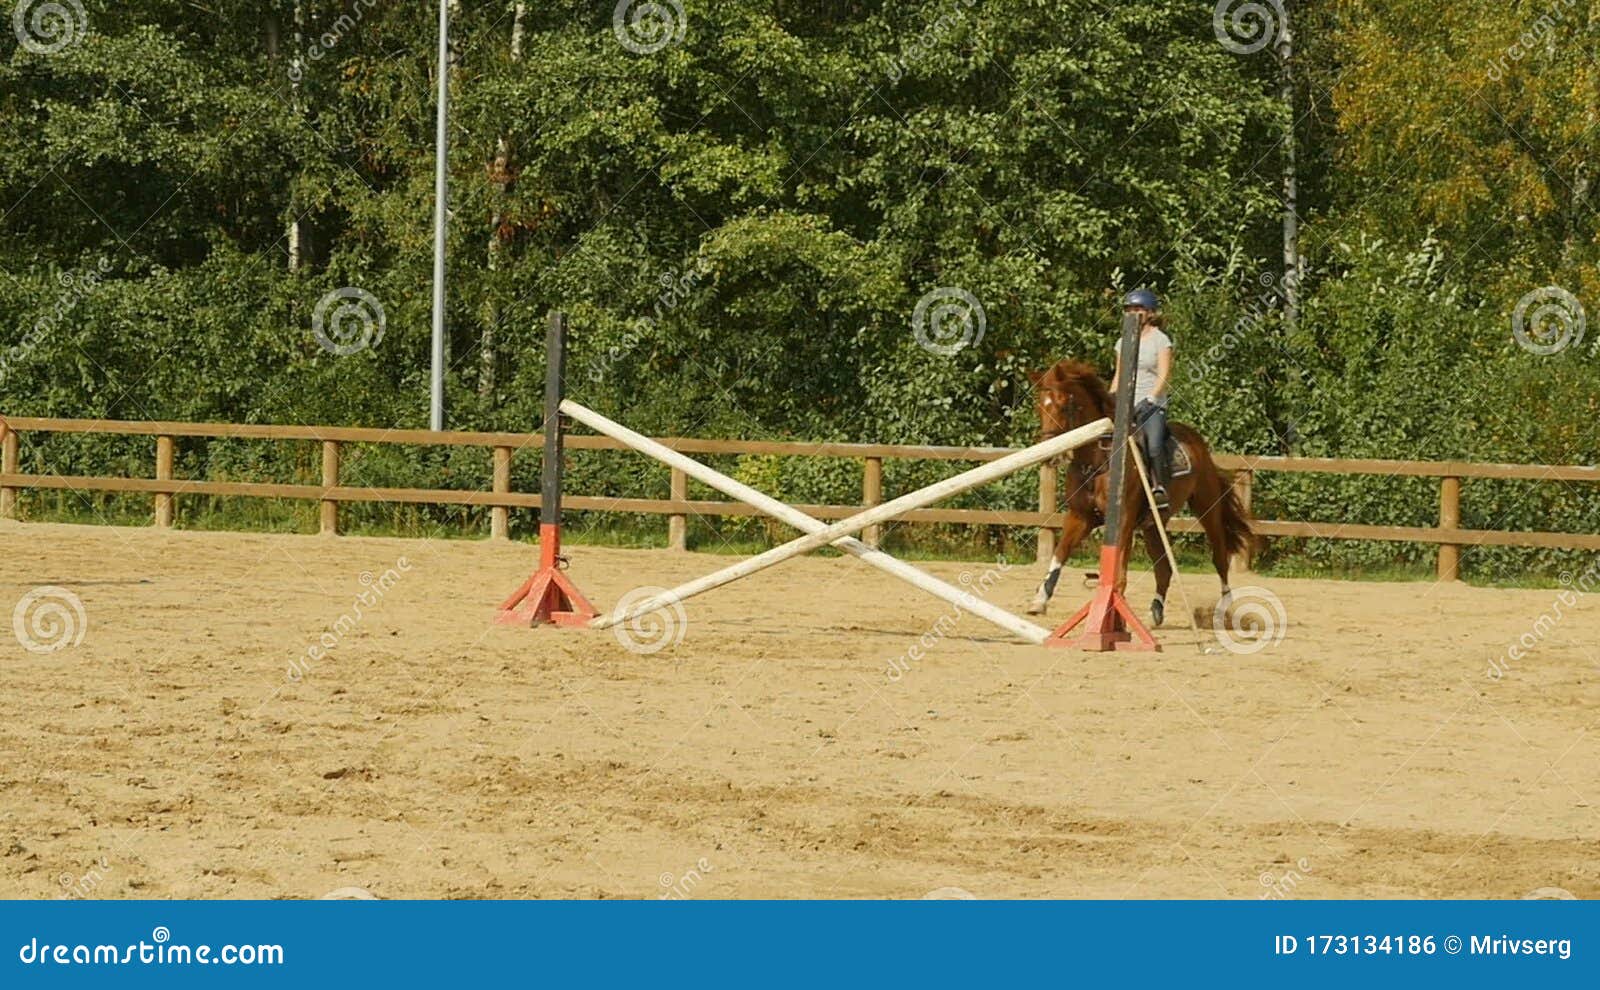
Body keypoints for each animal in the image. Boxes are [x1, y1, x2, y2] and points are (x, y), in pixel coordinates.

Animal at [1024, 358, 1248, 626]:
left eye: (1063, 404)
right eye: (1039, 406)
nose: (1049, 456)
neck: (1098, 461)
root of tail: (1197, 441)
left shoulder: (1123, 521)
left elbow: (1118, 570)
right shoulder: (1080, 517)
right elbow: (1059, 554)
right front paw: (1039, 600)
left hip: (1207, 508)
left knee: (1220, 557)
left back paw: (1223, 610)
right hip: (1153, 524)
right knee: (1164, 568)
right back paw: (1155, 613)